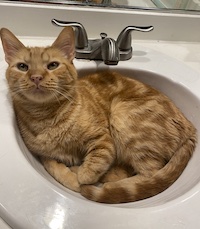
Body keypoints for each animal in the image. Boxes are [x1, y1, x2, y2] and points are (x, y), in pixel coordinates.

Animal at [0, 27, 197, 204]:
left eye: (53, 65)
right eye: (23, 67)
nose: (36, 77)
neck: (46, 117)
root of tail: (191, 128)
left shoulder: (103, 139)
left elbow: (95, 163)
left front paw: (81, 176)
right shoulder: (43, 154)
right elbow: (53, 166)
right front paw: (70, 175)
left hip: (122, 115)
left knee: (150, 174)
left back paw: (108, 183)